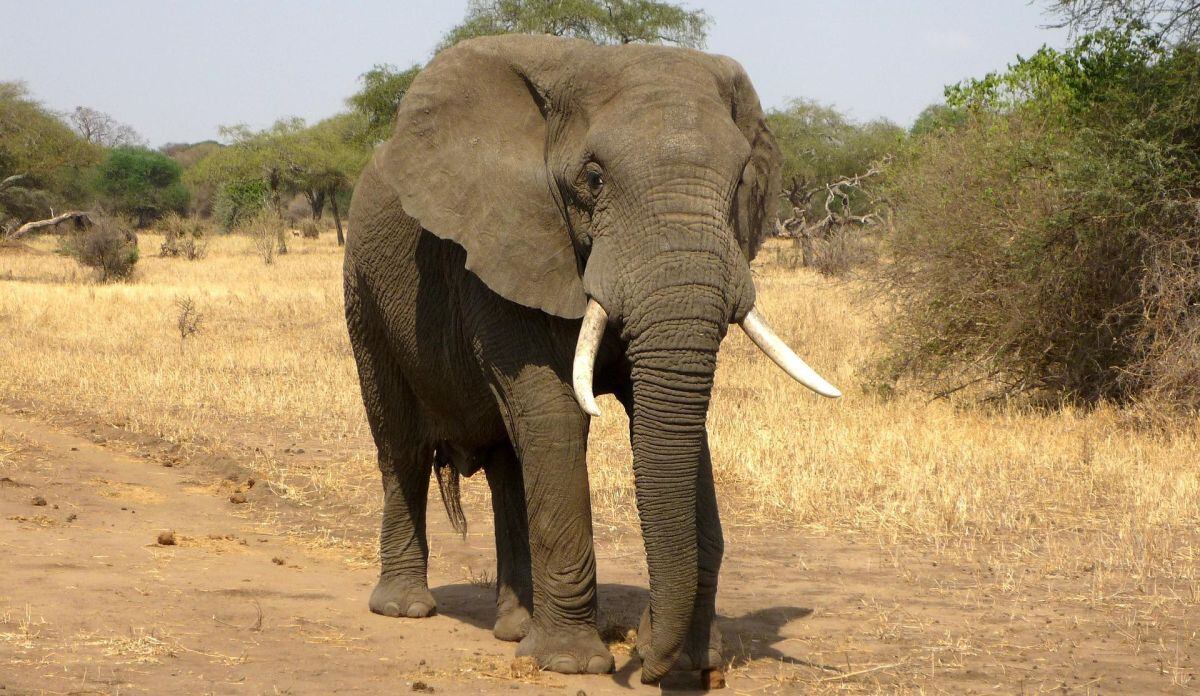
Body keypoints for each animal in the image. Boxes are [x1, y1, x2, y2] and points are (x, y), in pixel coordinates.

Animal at [343, 34, 840, 685]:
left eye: (739, 183)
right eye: (595, 178)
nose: (648, 660)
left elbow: (673, 423)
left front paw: (691, 660)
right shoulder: (507, 243)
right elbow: (556, 414)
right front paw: (571, 665)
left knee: (508, 461)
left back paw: (515, 628)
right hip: (363, 289)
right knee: (400, 443)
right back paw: (406, 608)